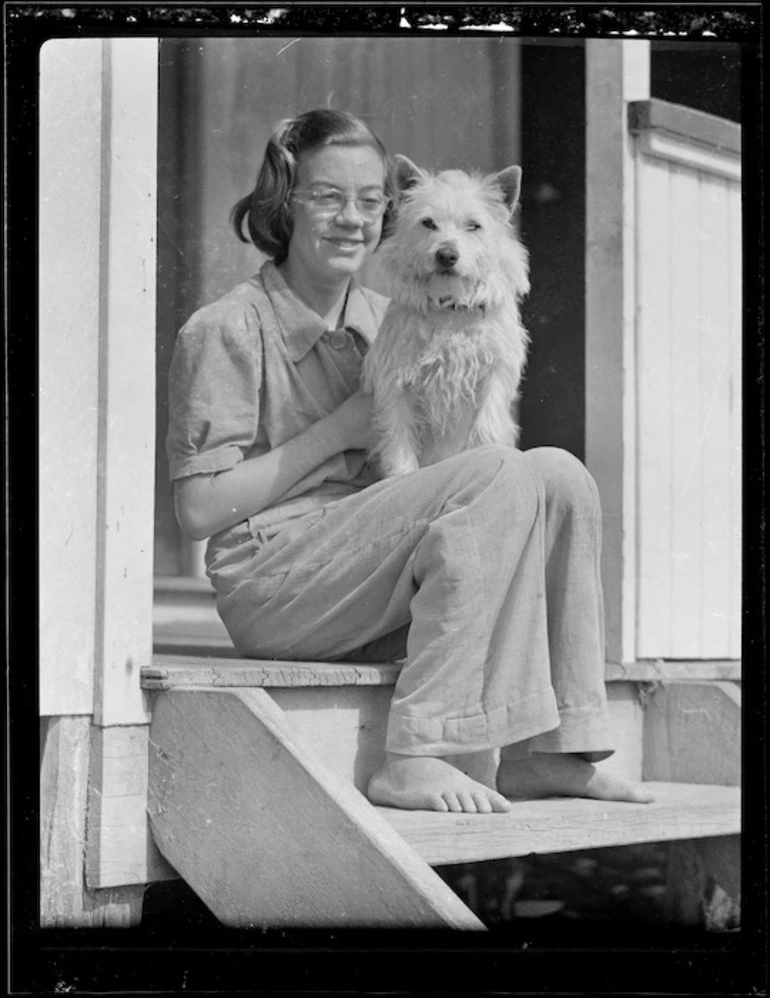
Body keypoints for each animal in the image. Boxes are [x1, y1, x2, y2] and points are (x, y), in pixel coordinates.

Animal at [360, 156, 528, 480]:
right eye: (428, 223)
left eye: (474, 226)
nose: (447, 255)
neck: (450, 309)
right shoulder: (396, 384)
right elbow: (399, 441)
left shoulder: (493, 375)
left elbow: (486, 428)